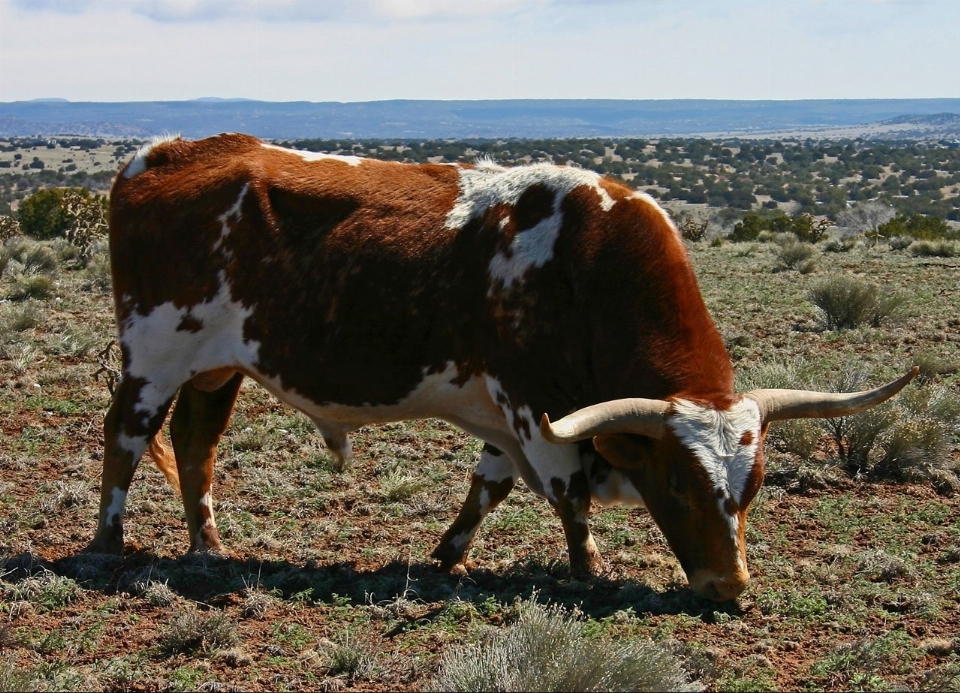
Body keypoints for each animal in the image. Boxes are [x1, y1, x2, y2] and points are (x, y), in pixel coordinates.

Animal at [88, 134, 916, 600]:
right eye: (678, 484)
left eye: (755, 486)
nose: (730, 588)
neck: (586, 264)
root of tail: (164, 150)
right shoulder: (533, 406)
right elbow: (567, 493)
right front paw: (590, 570)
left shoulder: (511, 413)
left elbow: (488, 485)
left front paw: (448, 555)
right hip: (156, 355)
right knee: (125, 436)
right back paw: (108, 543)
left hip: (216, 366)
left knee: (196, 446)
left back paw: (208, 547)